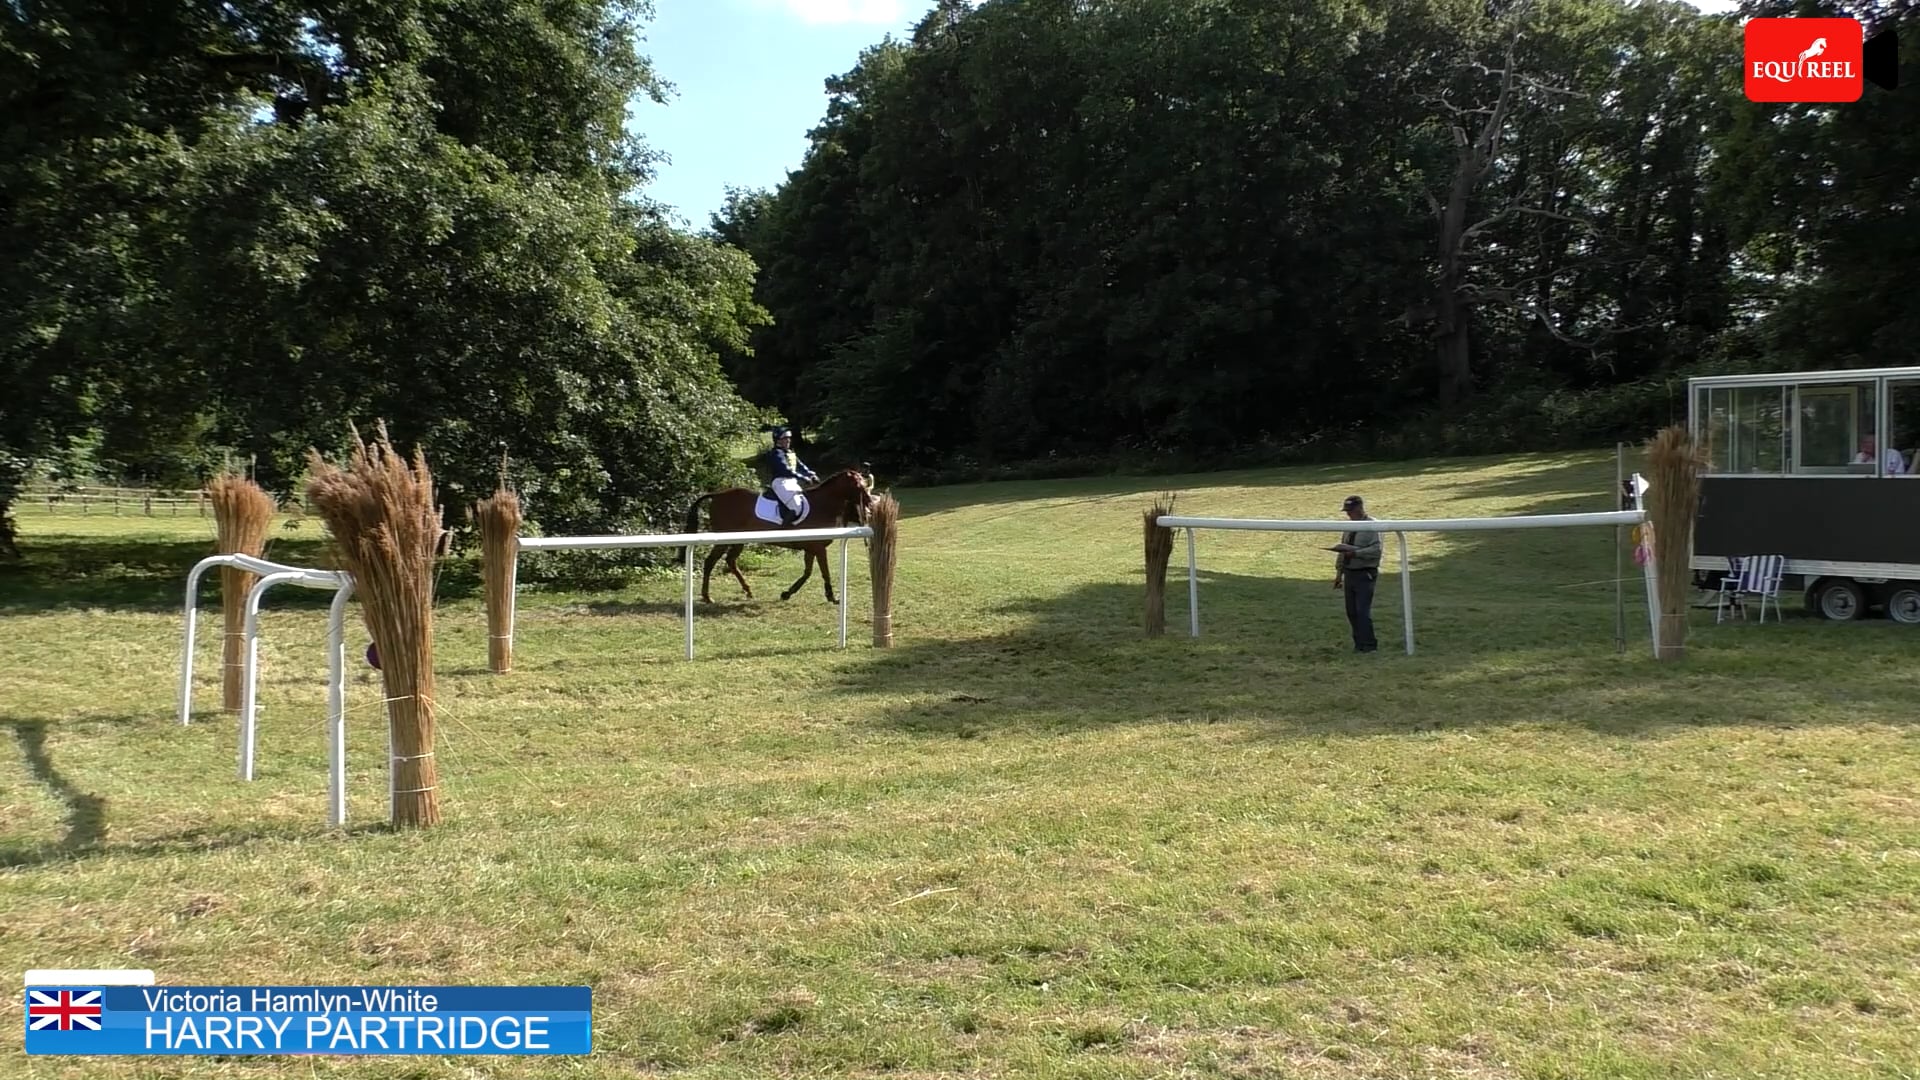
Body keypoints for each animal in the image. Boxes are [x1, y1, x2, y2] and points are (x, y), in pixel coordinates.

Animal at [683, 463, 879, 599]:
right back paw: (707, 597)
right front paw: (832, 597)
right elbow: (824, 571)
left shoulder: (811, 548)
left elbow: (807, 573)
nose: (870, 503)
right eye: (860, 486)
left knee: (730, 561)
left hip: (739, 541)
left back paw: (748, 590)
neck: (823, 505)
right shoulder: (818, 548)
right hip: (725, 539)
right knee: (710, 562)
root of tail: (717, 495)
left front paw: (787, 593)